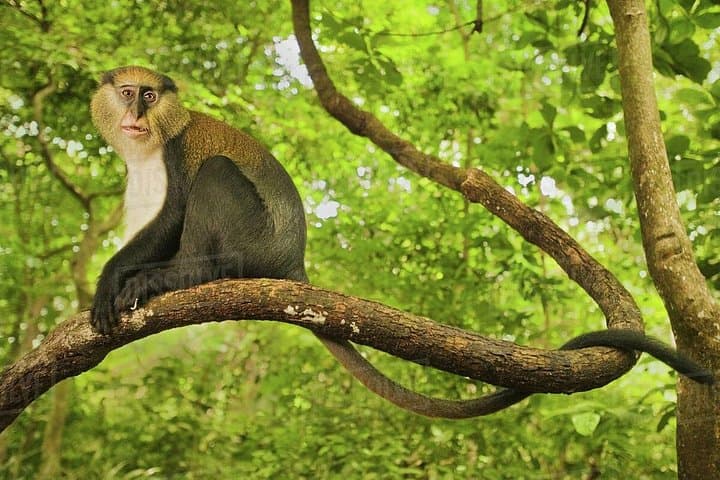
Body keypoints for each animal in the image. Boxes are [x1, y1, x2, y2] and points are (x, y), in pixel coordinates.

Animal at [89, 66, 713, 420]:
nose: (137, 111)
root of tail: (293, 259)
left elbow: (172, 214)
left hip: (251, 237)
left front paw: (127, 279)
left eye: (150, 95)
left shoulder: (173, 155)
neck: (151, 143)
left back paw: (183, 276)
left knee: (216, 178)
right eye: (129, 92)